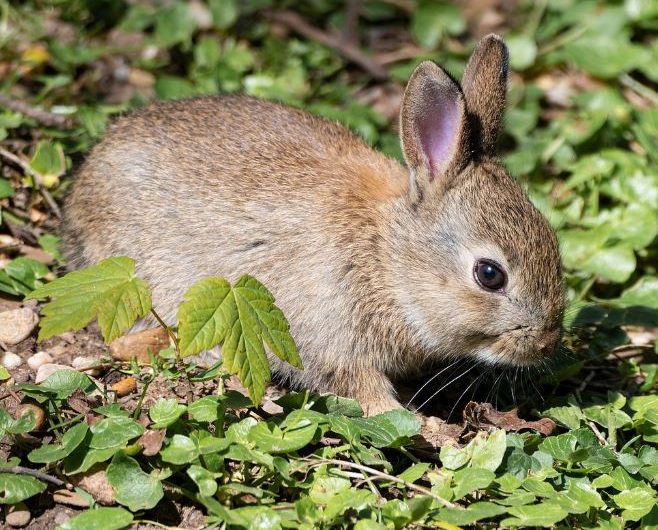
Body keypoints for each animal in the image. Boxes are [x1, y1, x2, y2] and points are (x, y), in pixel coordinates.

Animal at [63, 34, 564, 417]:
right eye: (489, 274)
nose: (545, 344)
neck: (387, 260)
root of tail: (87, 177)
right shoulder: (330, 338)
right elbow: (359, 387)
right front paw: (413, 423)